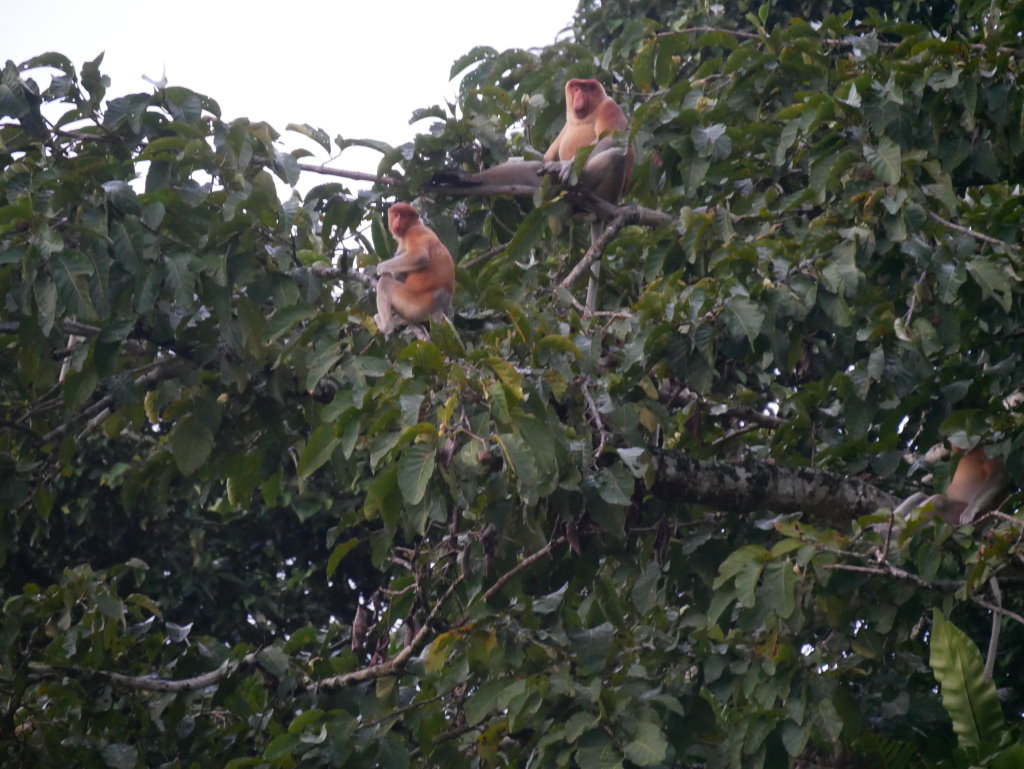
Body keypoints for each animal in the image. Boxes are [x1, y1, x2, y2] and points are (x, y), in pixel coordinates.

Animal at [373, 203, 455, 336]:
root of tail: (440, 306)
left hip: (416, 304)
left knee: (385, 283)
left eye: (404, 216)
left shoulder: (414, 232)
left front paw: (381, 268)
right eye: (396, 215)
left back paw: (386, 326)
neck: (415, 224)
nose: (397, 222)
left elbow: (419, 256)